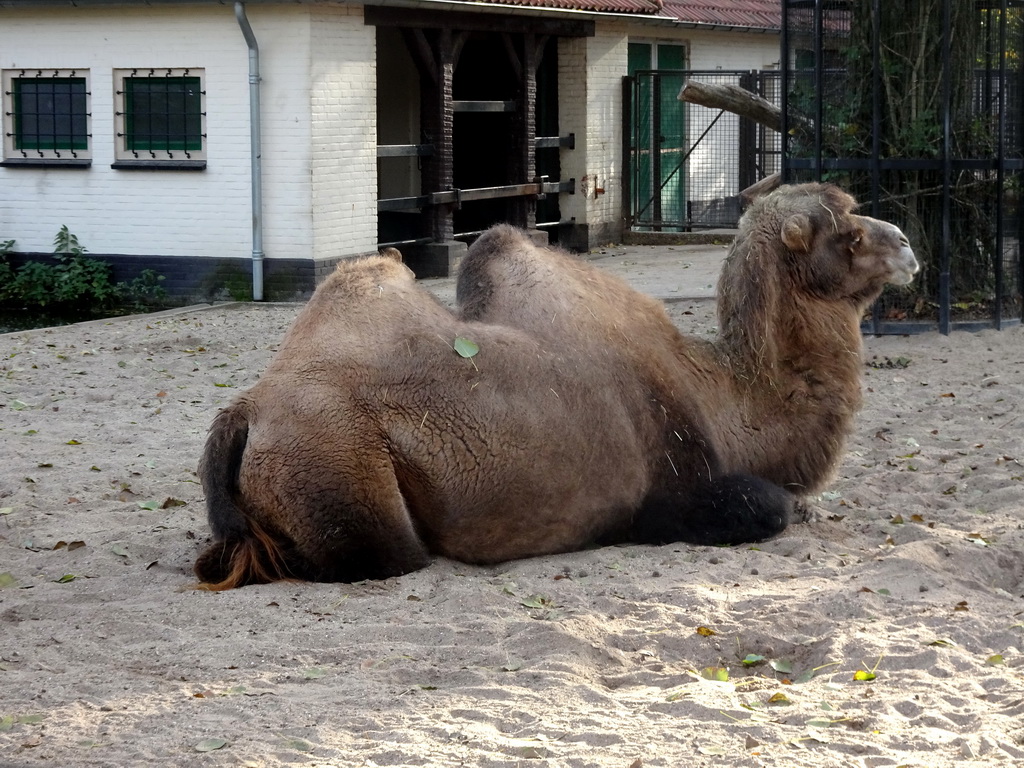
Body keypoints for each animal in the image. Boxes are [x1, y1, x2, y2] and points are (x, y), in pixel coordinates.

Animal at [193, 182, 921, 589]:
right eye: (849, 234)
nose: (909, 245)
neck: (725, 397)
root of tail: (246, 411)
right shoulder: (670, 490)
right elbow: (769, 506)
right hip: (345, 473)